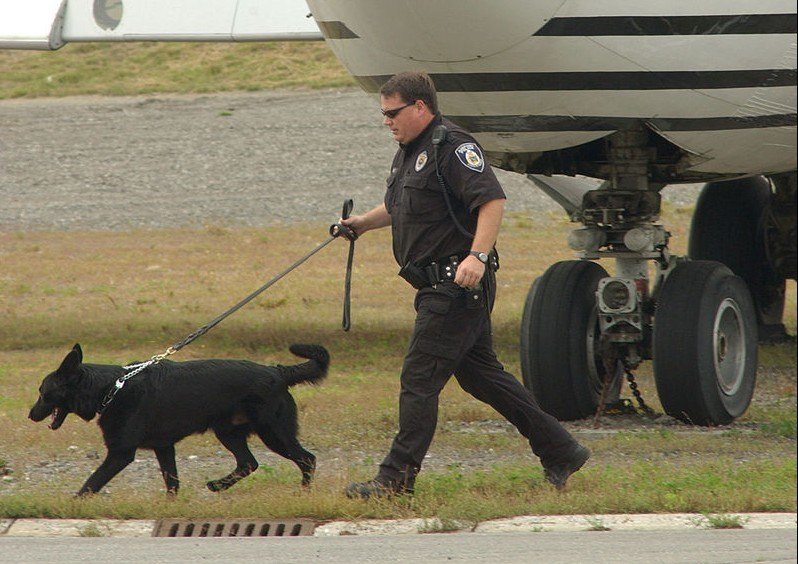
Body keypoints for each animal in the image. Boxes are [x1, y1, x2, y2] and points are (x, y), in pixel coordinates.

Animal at [28, 342, 328, 496]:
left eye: (42, 392)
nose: (30, 415)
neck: (113, 387)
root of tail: (278, 372)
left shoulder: (120, 453)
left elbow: (91, 483)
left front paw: (74, 503)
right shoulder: (164, 447)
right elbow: (172, 482)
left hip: (273, 433)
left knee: (307, 459)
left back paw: (304, 492)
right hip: (228, 431)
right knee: (248, 463)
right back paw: (217, 485)